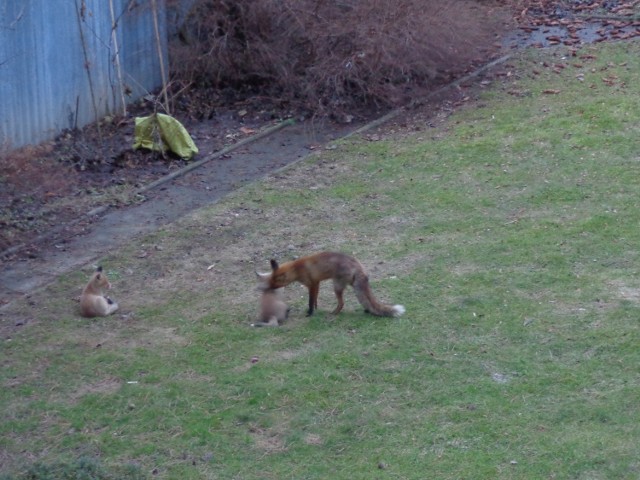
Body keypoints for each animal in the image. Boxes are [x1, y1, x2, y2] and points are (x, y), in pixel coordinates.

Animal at [256, 251, 402, 318]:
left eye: (273, 283)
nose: (267, 289)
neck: (297, 268)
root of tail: (357, 265)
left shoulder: (311, 284)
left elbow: (310, 301)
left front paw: (310, 312)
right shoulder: (317, 283)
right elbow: (315, 298)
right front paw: (316, 307)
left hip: (336, 286)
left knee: (342, 303)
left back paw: (334, 313)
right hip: (351, 286)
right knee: (365, 300)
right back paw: (367, 310)